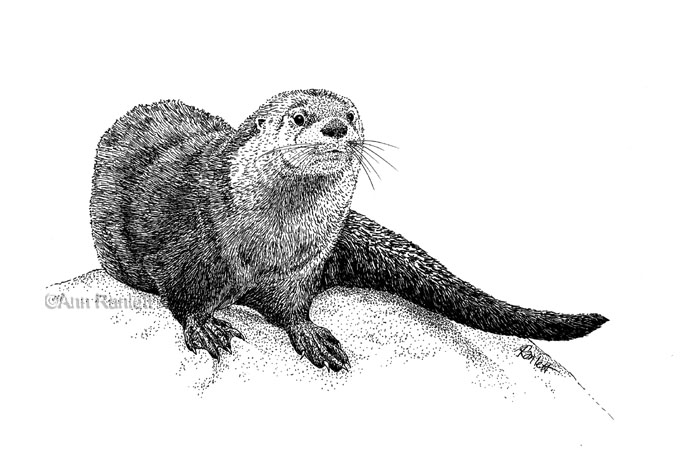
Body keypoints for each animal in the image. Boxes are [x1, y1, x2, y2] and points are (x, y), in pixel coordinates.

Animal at [90, 89, 607, 371]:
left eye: (352, 115)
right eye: (299, 118)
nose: (337, 127)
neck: (269, 244)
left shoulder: (304, 265)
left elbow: (292, 308)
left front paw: (310, 334)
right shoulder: (190, 248)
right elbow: (182, 297)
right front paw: (204, 326)